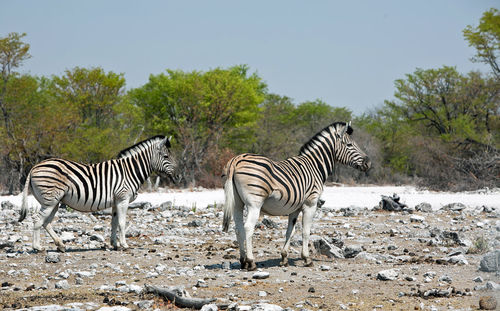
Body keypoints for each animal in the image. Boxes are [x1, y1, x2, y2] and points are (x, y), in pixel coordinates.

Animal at [17, 136, 176, 254]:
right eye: (166, 156)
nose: (176, 176)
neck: (130, 170)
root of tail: (35, 167)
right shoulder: (123, 199)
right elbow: (122, 222)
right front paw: (124, 245)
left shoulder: (116, 201)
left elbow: (114, 222)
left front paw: (114, 244)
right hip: (50, 199)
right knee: (38, 220)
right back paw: (37, 247)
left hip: (53, 201)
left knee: (46, 222)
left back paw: (60, 245)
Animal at [223, 121, 372, 270]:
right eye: (350, 145)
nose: (368, 163)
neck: (315, 166)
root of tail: (236, 160)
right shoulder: (311, 203)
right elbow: (306, 231)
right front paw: (307, 258)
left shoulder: (294, 208)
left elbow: (290, 231)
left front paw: (284, 258)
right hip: (254, 203)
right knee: (248, 227)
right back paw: (251, 261)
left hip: (237, 203)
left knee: (238, 228)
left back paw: (243, 261)